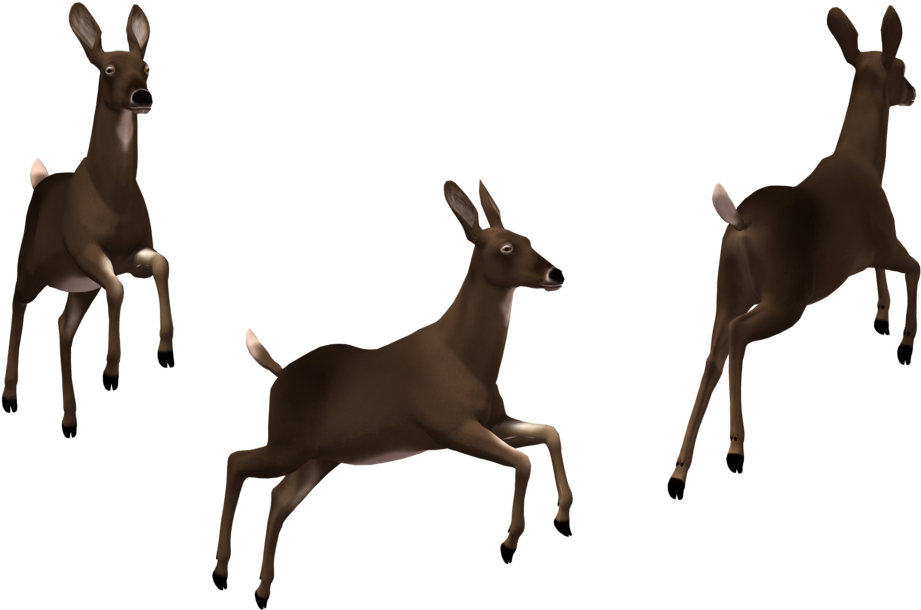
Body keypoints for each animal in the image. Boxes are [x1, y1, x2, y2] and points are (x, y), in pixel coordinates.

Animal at [1, 3, 174, 438]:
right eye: (108, 69)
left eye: (146, 67)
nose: (142, 95)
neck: (111, 200)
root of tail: (41, 180)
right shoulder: (86, 250)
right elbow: (118, 289)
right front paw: (111, 371)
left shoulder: (130, 254)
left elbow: (160, 264)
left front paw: (165, 350)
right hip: (32, 265)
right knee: (18, 304)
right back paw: (10, 397)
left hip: (80, 288)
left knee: (62, 327)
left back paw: (68, 420)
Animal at [211, 180, 572, 607]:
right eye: (505, 247)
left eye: (528, 239)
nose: (556, 272)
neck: (462, 356)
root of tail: (280, 373)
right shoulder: (452, 427)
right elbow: (522, 461)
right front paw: (508, 545)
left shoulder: (493, 422)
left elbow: (550, 433)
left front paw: (562, 519)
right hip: (288, 445)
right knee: (237, 461)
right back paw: (221, 573)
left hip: (320, 457)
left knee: (279, 497)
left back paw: (262, 590)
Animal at [667, 5, 918, 502]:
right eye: (901, 66)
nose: (914, 92)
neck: (865, 163)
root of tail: (739, 223)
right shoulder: (887, 238)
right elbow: (916, 268)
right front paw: (904, 344)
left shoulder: (872, 250)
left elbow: (883, 272)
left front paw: (882, 319)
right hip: (786, 299)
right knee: (738, 338)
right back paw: (736, 451)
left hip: (728, 292)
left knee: (712, 353)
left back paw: (678, 476)